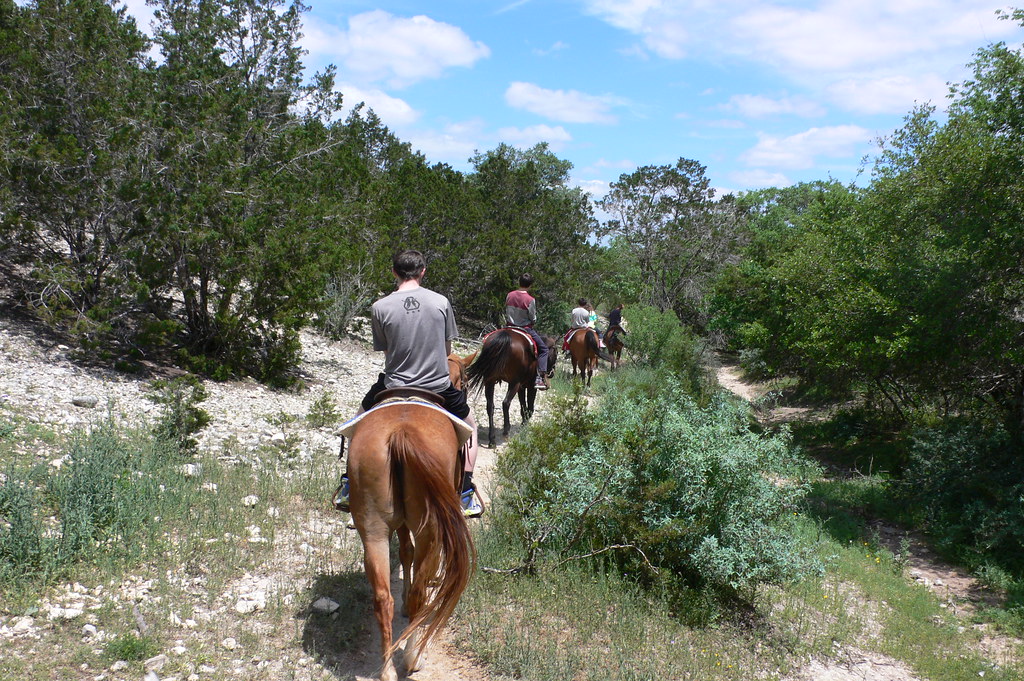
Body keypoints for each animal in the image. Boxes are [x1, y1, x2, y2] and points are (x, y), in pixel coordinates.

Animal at [344, 403, 471, 679]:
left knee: (382, 598)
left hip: (374, 531)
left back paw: (387, 670)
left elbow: (405, 552)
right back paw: (413, 657)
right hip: (429, 531)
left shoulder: (400, 523)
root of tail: (400, 432)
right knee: (418, 594)